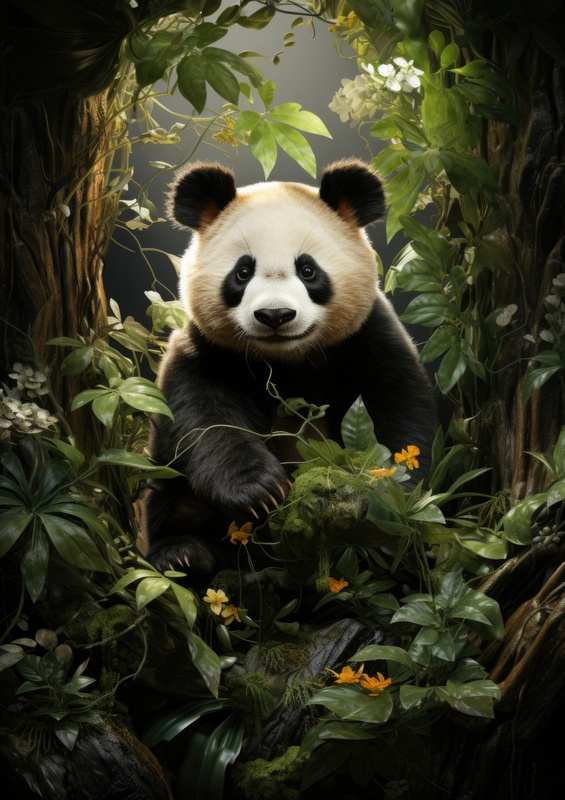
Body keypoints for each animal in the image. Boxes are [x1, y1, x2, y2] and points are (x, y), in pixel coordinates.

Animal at [143, 159, 436, 576]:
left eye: (308, 270)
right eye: (243, 272)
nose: (275, 315)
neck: (287, 361)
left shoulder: (368, 337)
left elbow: (399, 408)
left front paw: (385, 505)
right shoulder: (207, 349)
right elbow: (205, 416)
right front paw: (259, 490)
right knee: (172, 499)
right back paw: (183, 552)